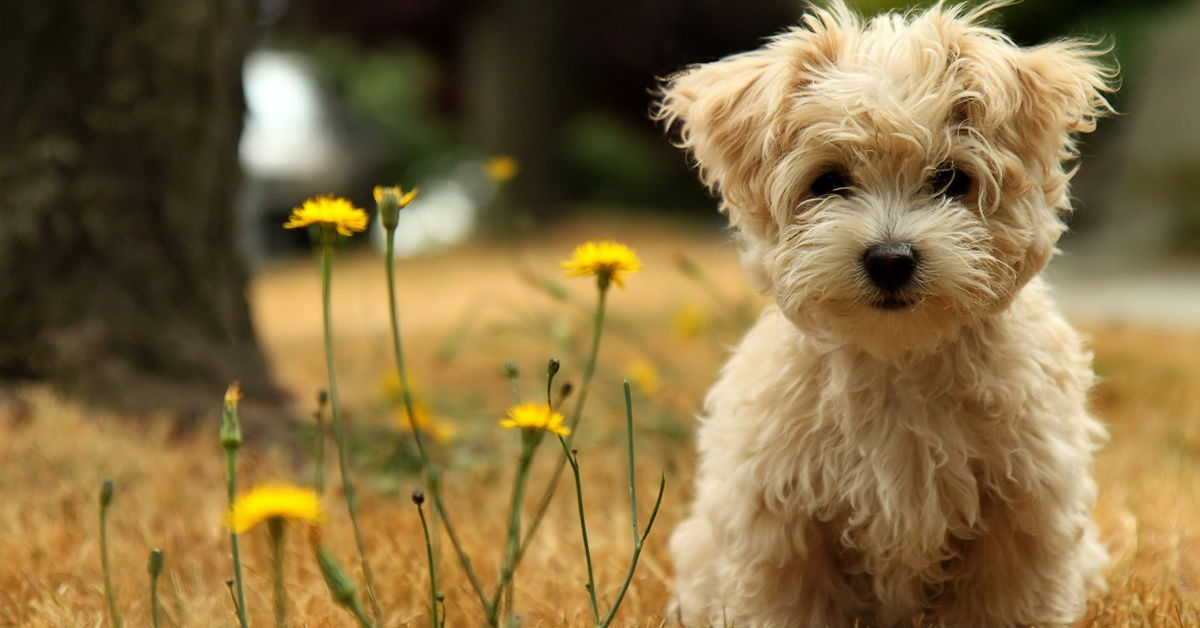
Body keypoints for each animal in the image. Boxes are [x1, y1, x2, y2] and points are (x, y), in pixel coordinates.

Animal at [657, 2, 1113, 624]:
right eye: (828, 181)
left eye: (951, 179)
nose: (890, 258)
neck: (899, 360)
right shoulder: (781, 523)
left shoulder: (1023, 513)